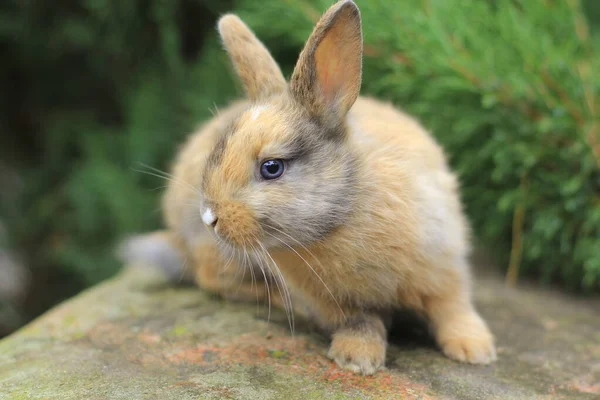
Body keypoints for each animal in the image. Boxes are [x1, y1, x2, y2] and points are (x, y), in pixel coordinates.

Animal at [122, 0, 496, 376]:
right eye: (220, 150)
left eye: (272, 168)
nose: (209, 218)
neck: (341, 218)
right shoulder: (338, 304)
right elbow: (362, 322)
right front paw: (357, 360)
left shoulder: (443, 265)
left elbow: (453, 307)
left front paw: (475, 350)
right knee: (210, 279)